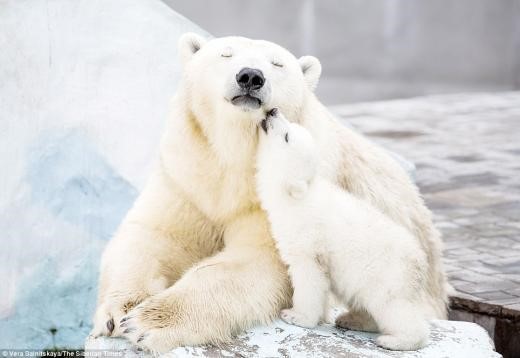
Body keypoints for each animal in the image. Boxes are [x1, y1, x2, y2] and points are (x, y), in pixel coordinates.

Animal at [258, 109, 432, 350]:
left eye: (286, 136)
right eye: (290, 128)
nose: (273, 111)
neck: (296, 196)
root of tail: (421, 263)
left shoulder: (307, 237)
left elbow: (309, 275)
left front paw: (295, 316)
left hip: (388, 276)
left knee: (395, 309)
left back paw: (393, 340)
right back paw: (351, 319)